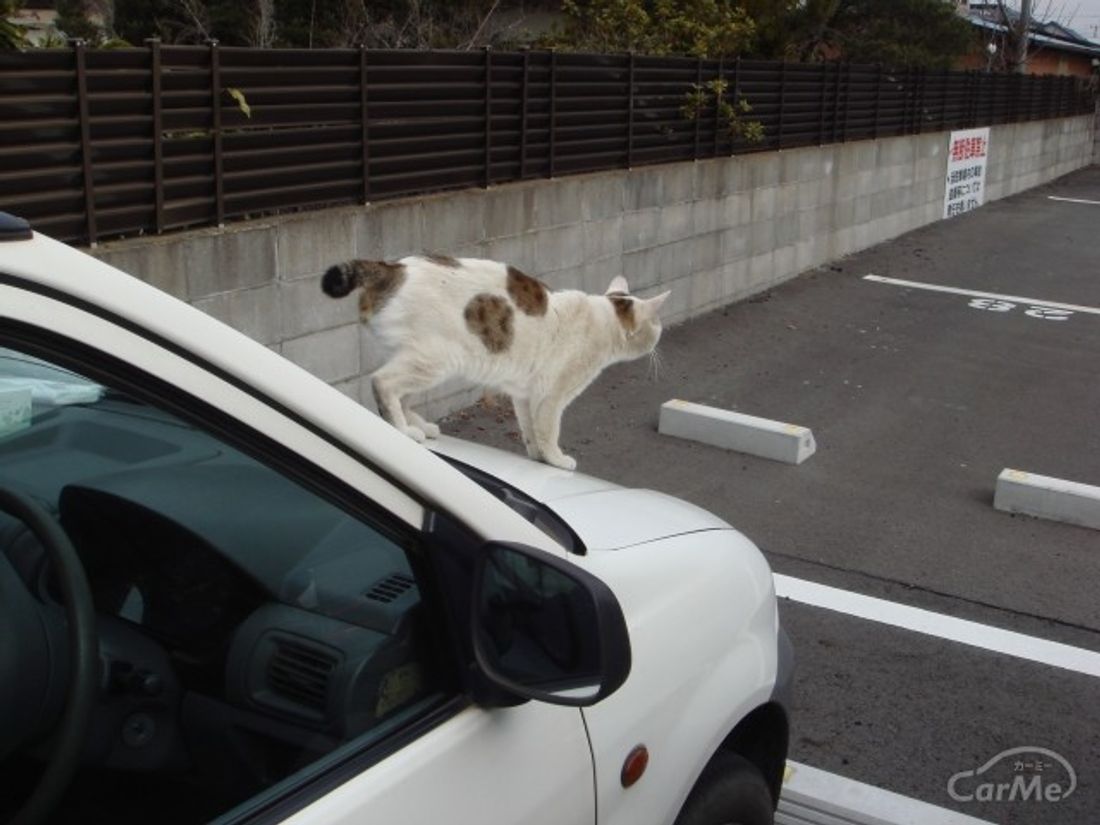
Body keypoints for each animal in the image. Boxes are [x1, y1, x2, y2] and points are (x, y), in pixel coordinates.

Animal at [321, 255, 668, 468]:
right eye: (657, 325)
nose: (660, 336)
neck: (605, 320)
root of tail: (394, 268)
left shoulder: (525, 395)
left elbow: (530, 430)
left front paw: (538, 457)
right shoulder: (551, 396)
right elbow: (549, 429)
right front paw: (557, 459)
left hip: (416, 356)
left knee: (401, 392)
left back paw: (418, 425)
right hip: (436, 358)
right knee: (383, 383)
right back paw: (405, 431)